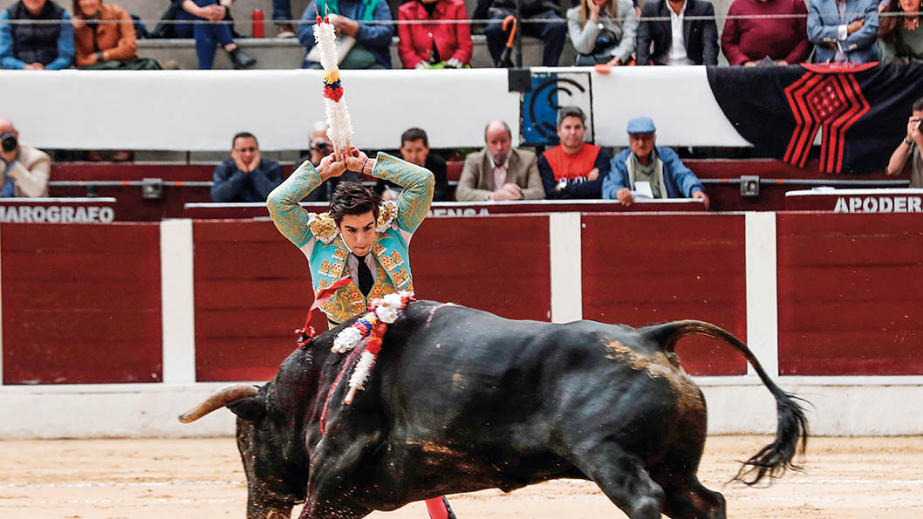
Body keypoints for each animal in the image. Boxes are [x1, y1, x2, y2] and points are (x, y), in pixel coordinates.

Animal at [179, 300, 808, 519]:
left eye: (246, 442)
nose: (257, 508)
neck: (320, 382)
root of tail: (653, 336)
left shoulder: (331, 481)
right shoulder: (351, 500)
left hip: (608, 457)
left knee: (646, 501)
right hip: (674, 465)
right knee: (705, 501)